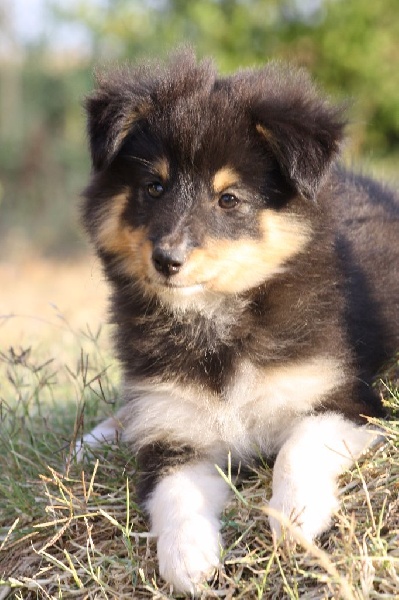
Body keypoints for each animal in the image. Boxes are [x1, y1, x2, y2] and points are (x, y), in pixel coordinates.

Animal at [78, 49, 399, 592]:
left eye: (228, 199)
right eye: (154, 187)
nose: (167, 260)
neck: (216, 320)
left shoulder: (349, 401)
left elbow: (298, 445)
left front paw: (296, 517)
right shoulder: (173, 430)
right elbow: (173, 493)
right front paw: (188, 559)